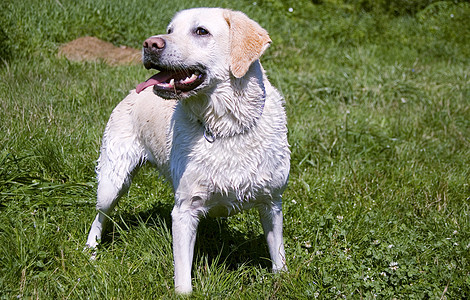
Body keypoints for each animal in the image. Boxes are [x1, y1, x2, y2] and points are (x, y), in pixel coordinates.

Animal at [85, 7, 290, 292]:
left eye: (201, 31)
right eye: (170, 30)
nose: (150, 44)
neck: (225, 127)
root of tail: (130, 93)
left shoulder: (272, 204)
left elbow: (278, 255)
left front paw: (283, 280)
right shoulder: (184, 211)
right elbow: (183, 278)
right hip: (112, 182)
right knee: (99, 215)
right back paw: (91, 250)